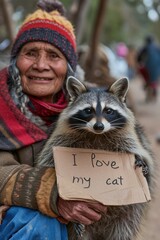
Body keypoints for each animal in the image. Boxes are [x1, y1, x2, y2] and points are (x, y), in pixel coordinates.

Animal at [36, 76, 155, 240]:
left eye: (108, 111)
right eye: (88, 110)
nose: (99, 126)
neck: (97, 134)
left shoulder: (131, 139)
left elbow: (146, 161)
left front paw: (142, 164)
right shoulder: (60, 139)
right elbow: (47, 161)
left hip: (128, 216)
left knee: (124, 227)